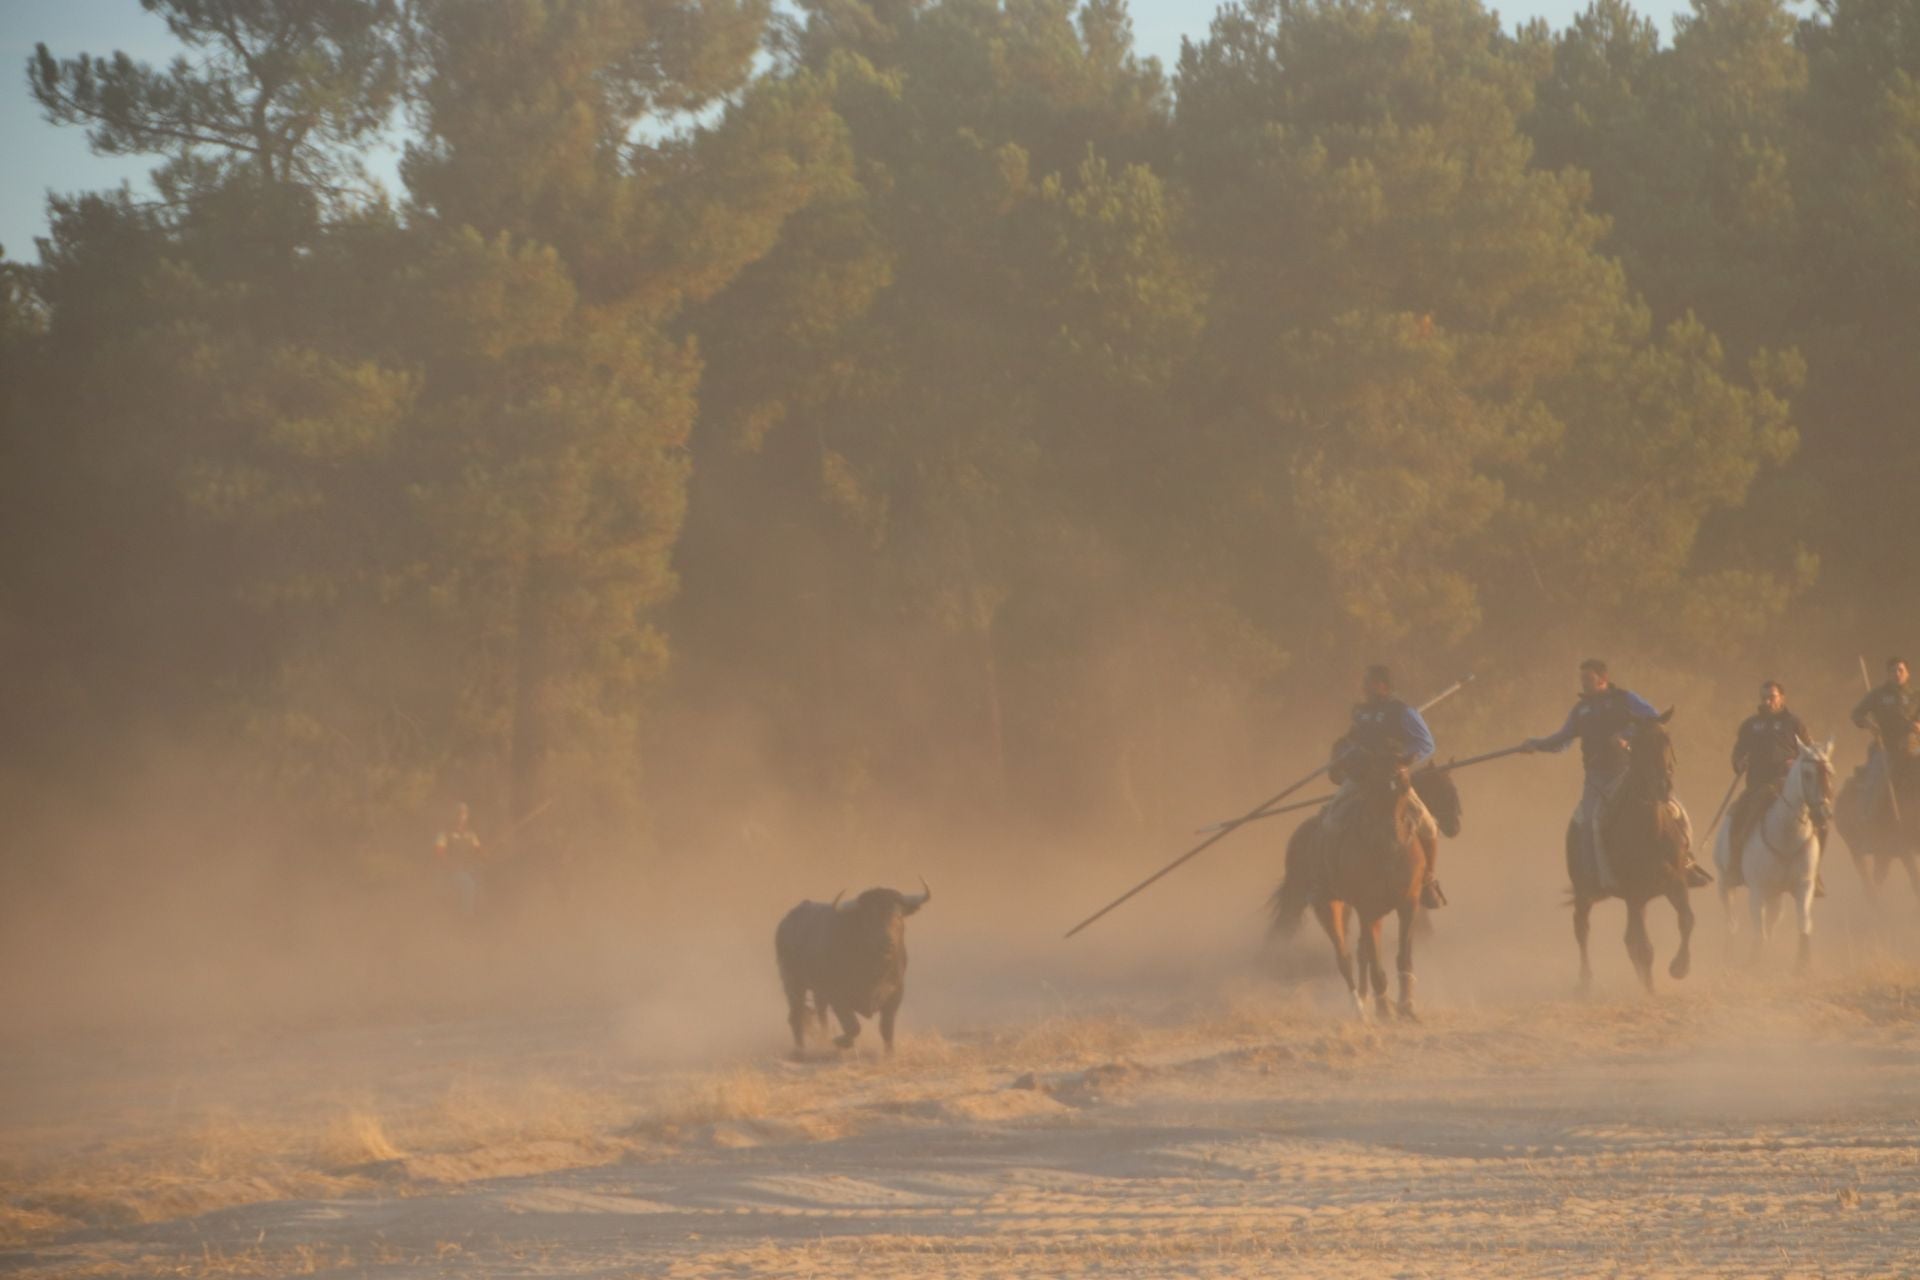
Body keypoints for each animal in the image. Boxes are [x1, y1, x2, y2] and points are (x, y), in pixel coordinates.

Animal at [775, 886, 933, 1059]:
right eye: (869, 918)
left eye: (898, 915)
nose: (887, 942)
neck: (875, 971)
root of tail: (786, 923)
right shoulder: (838, 997)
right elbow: (853, 1026)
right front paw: (839, 1041)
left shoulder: (895, 995)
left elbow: (886, 1029)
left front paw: (889, 1054)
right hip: (793, 983)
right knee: (796, 1017)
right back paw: (801, 1051)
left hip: (818, 992)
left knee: (820, 1015)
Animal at [1259, 759, 1451, 1020]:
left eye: (1403, 792)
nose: (1454, 824)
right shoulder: (1368, 911)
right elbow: (1373, 961)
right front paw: (1384, 1009)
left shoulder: (1407, 904)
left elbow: (1400, 957)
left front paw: (1405, 1005)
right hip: (1327, 906)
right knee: (1344, 956)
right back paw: (1359, 1008)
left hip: (1346, 907)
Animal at [1566, 717, 1704, 997]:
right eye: (1638, 743)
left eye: (1666, 738)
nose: (1662, 786)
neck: (1649, 829)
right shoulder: (1634, 892)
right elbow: (1643, 945)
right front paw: (1653, 987)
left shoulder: (1674, 883)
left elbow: (1686, 920)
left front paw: (1679, 968)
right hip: (1586, 892)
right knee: (1582, 928)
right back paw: (1585, 982)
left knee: (1629, 938)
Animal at [1720, 740, 1835, 971]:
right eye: (1807, 773)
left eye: (1829, 771)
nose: (1825, 813)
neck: (1786, 836)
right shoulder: (1757, 890)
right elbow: (1758, 930)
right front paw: (1755, 962)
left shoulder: (1803, 886)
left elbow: (1803, 922)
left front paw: (1802, 964)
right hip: (1725, 883)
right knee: (1732, 921)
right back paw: (1728, 955)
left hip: (1775, 895)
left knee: (1770, 922)